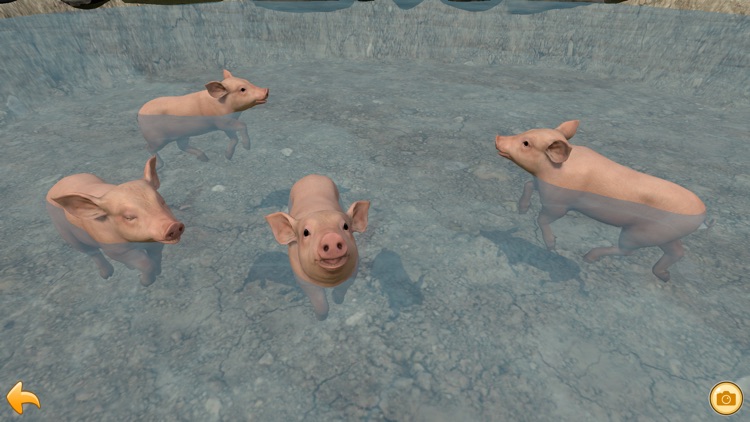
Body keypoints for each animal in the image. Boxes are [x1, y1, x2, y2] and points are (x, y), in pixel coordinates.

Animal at [46, 156, 185, 286]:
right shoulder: (115, 250)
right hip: (65, 231)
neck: (139, 242)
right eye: (129, 217)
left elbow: (155, 257)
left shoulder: (155, 242)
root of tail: (57, 185)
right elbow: (146, 263)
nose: (173, 226)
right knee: (91, 252)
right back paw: (107, 275)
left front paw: (157, 272)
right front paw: (144, 282)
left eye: (162, 202)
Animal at [137, 69, 269, 168]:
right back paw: (160, 165)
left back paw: (205, 159)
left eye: (248, 81)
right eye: (242, 89)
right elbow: (242, 125)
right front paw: (247, 147)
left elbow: (234, 138)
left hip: (183, 135)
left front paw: (228, 156)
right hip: (157, 139)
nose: (266, 90)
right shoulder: (222, 122)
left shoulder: (227, 125)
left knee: (182, 146)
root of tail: (139, 113)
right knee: (148, 147)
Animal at [265, 175, 370, 320]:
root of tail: (311, 175)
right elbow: (319, 300)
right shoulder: (302, 278)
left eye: (345, 226)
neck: (330, 281)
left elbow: (343, 287)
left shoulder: (354, 269)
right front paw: (321, 317)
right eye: (305, 232)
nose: (331, 237)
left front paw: (337, 301)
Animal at [495, 120, 707, 282]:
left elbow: (542, 218)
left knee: (627, 251)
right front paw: (522, 210)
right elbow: (528, 184)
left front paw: (551, 245)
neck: (550, 169)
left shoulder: (558, 202)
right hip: (666, 235)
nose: (497, 137)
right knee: (677, 252)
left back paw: (587, 257)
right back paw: (664, 277)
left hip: (640, 233)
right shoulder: (543, 186)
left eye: (526, 143)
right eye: (526, 133)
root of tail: (701, 214)